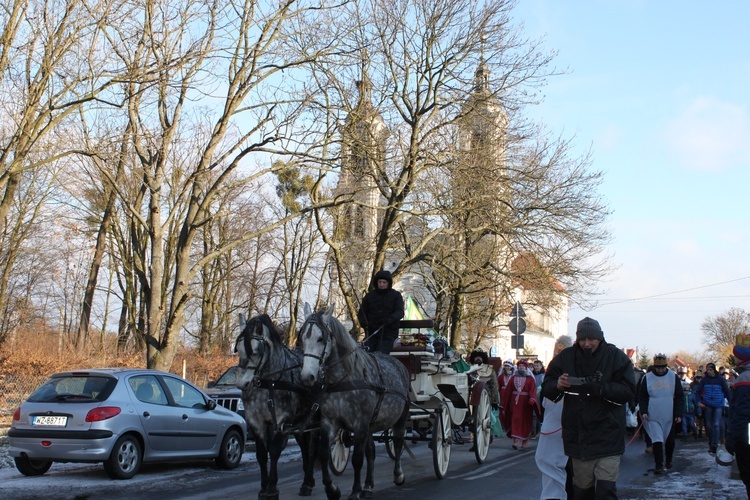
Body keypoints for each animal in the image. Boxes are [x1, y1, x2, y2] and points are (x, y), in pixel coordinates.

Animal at [298, 302, 412, 498]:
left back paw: (398, 475)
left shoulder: (360, 424)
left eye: (321, 338)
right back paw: (368, 486)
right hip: (371, 424)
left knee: (397, 443)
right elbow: (324, 453)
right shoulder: (330, 422)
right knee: (371, 451)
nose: (307, 376)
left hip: (400, 418)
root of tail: (399, 364)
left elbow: (357, 458)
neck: (344, 380)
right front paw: (332, 489)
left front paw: (355, 490)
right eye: (303, 337)